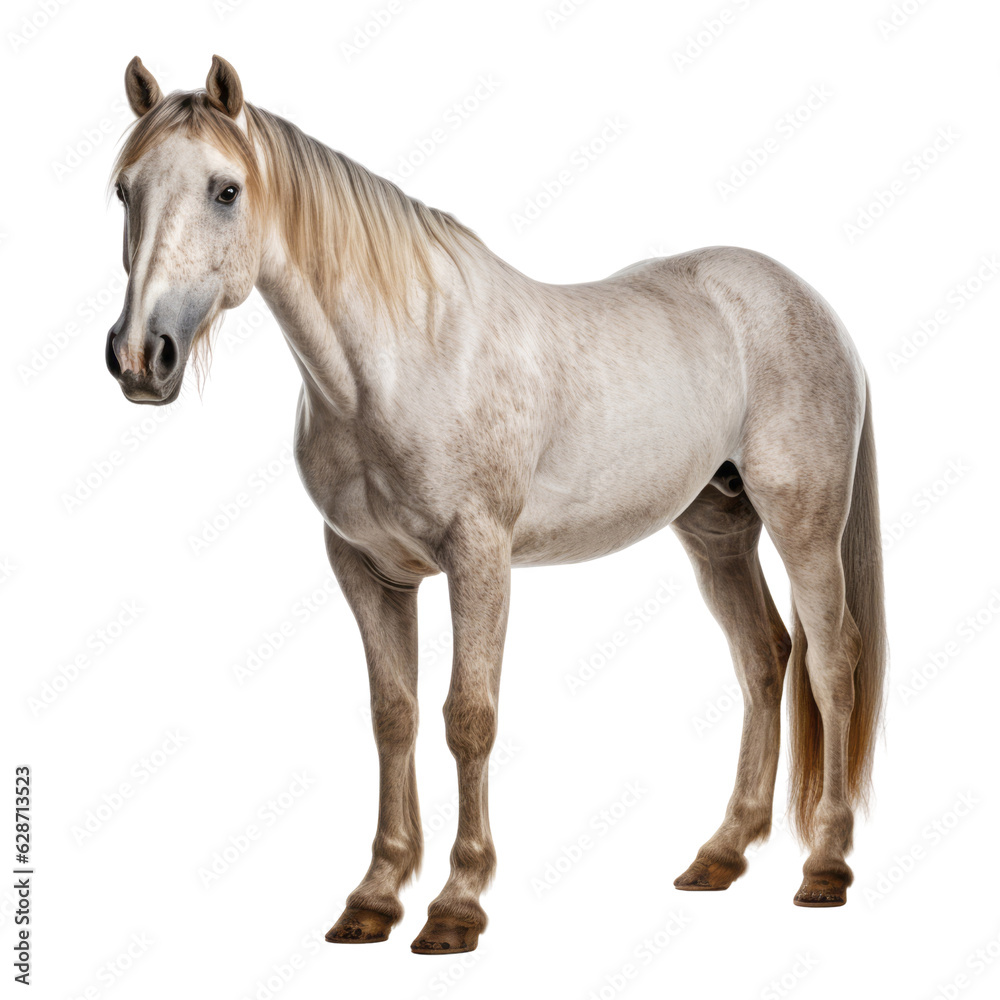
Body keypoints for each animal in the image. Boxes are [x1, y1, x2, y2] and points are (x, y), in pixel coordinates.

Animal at [105, 55, 887, 953]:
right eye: (124, 189)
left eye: (226, 189)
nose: (141, 357)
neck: (396, 362)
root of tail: (810, 304)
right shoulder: (367, 568)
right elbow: (395, 716)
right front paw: (375, 898)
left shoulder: (478, 557)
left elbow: (467, 717)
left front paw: (456, 905)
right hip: (716, 530)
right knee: (763, 658)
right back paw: (721, 854)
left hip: (805, 526)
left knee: (830, 662)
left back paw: (825, 866)